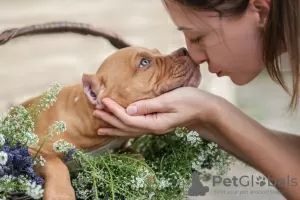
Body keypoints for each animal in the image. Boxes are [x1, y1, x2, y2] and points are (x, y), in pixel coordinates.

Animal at [20, 46, 199, 198]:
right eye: (144, 62)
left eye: (158, 52)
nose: (185, 50)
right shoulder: (34, 150)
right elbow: (57, 165)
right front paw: (61, 195)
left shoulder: (119, 148)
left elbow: (136, 155)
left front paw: (147, 177)